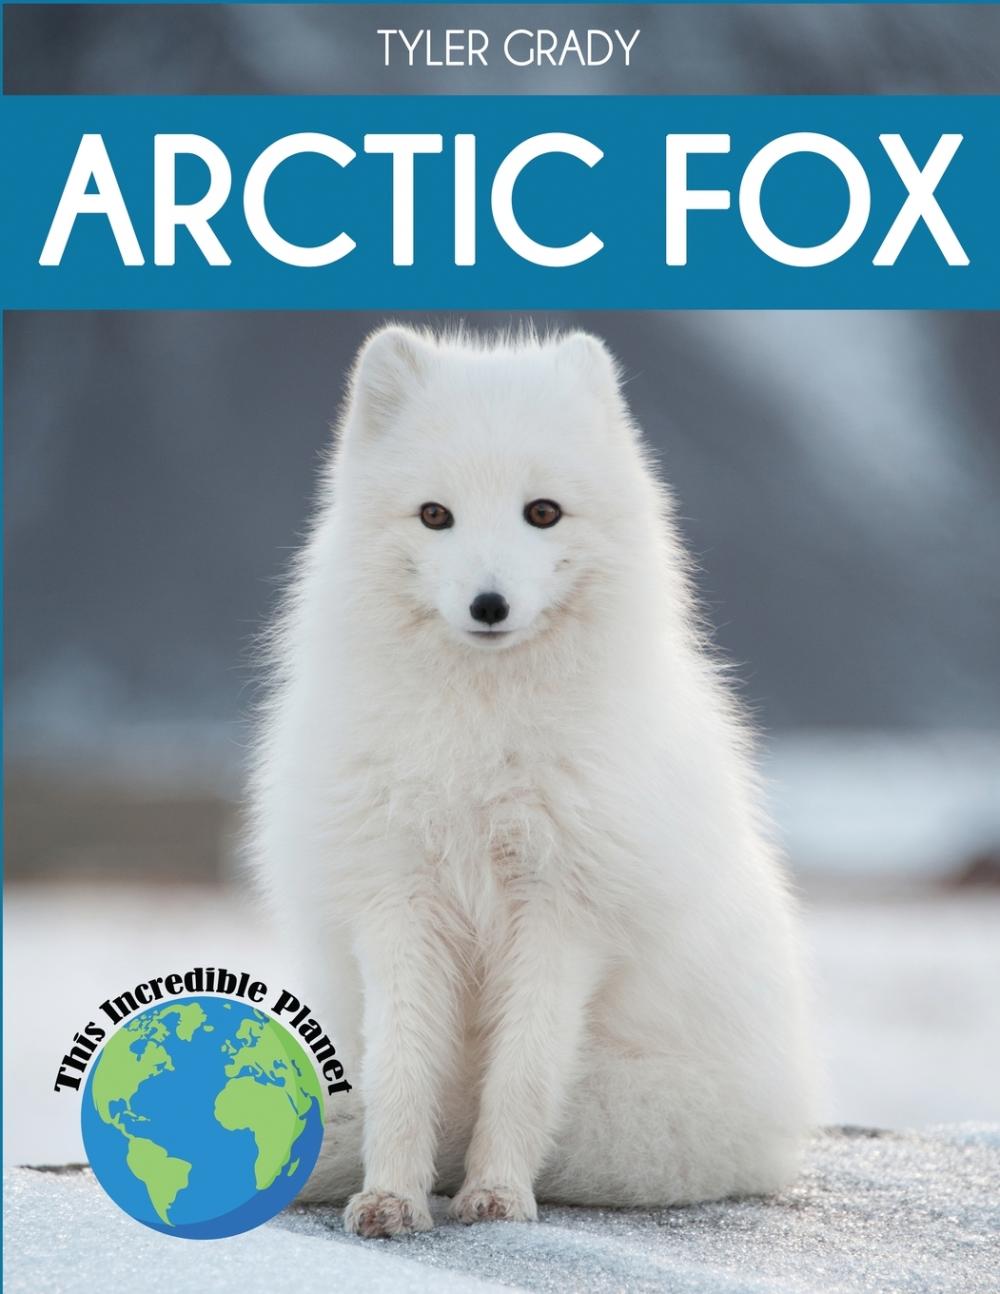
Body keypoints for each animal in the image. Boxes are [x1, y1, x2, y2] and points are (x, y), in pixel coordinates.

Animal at [249, 324, 817, 1238]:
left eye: (541, 511)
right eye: (435, 514)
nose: (489, 604)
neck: (480, 746)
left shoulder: (563, 913)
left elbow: (521, 1074)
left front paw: (496, 1194)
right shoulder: (397, 900)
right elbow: (401, 1070)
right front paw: (391, 1196)